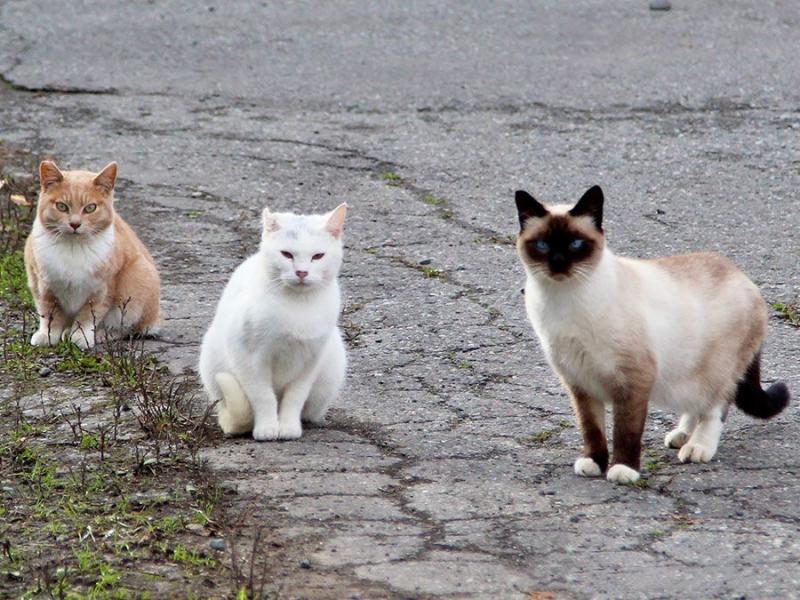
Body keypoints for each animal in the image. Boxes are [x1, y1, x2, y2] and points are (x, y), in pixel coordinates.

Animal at [24, 162, 161, 350]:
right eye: (61, 206)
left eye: (90, 208)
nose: (75, 224)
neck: (73, 248)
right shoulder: (43, 286)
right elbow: (49, 313)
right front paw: (47, 335)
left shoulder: (102, 289)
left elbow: (88, 316)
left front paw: (81, 336)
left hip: (137, 282)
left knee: (125, 329)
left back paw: (100, 335)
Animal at [198, 204, 348, 438]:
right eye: (286, 254)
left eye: (318, 256)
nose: (302, 272)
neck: (298, 306)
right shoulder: (248, 359)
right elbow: (263, 396)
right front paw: (267, 428)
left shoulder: (310, 361)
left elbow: (294, 398)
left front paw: (288, 427)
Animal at [520, 185, 788, 486]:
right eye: (542, 245)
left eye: (576, 244)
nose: (558, 263)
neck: (563, 301)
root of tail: (745, 279)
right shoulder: (579, 382)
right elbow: (592, 430)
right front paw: (593, 463)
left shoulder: (633, 380)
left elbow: (626, 431)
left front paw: (623, 470)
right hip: (686, 376)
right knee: (696, 406)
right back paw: (681, 436)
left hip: (716, 372)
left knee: (716, 408)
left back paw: (697, 447)